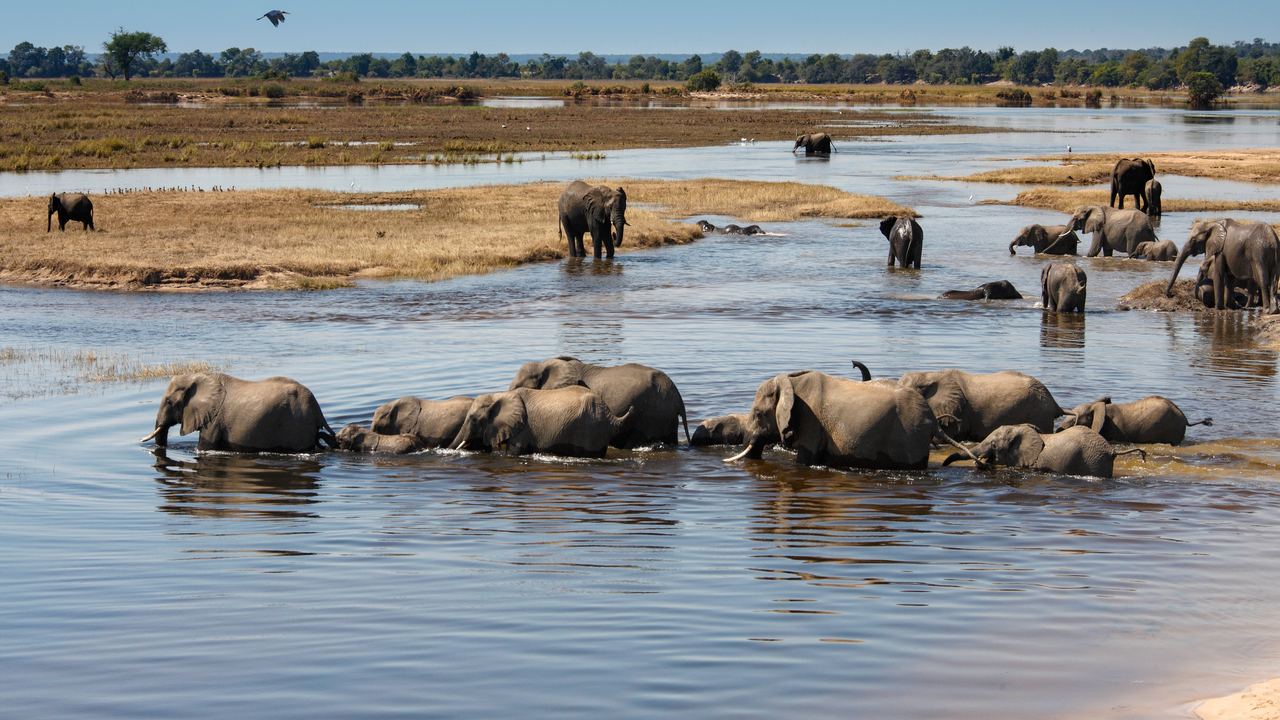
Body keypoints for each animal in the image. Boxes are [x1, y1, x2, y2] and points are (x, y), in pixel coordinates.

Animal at [451, 386, 629, 458]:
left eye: (473, 419)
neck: (500, 395)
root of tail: (611, 415)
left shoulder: (522, 430)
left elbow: (513, 453)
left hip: (591, 431)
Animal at [724, 370, 936, 470]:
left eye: (758, 414)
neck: (789, 381)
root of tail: (931, 414)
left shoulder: (810, 420)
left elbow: (805, 459)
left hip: (910, 435)